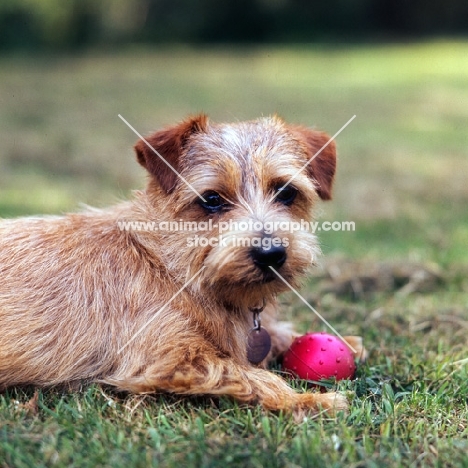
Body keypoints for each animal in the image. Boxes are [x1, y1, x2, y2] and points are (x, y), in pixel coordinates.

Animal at [0, 116, 362, 416]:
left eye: (286, 192)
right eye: (212, 199)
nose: (271, 253)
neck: (168, 266)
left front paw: (344, 343)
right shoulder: (170, 359)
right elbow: (250, 374)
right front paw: (310, 399)